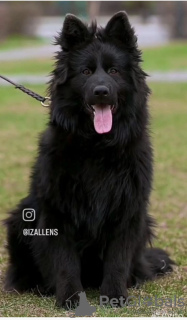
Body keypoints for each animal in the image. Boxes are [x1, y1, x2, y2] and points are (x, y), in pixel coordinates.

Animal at [4, 11, 174, 308]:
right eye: (86, 72)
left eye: (114, 71)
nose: (101, 91)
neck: (97, 146)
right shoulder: (56, 211)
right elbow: (65, 262)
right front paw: (71, 297)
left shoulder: (127, 209)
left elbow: (117, 259)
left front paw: (115, 295)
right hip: (20, 218)